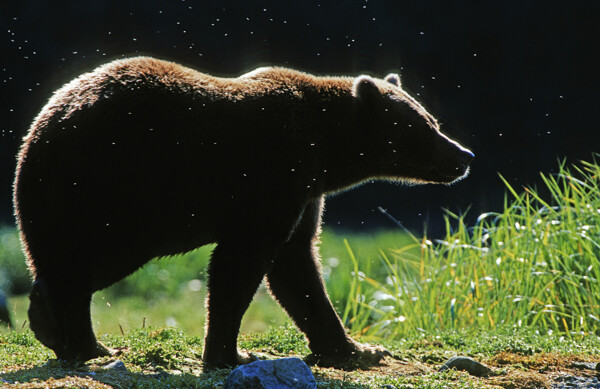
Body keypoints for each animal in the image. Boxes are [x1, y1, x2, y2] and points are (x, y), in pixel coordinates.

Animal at [12, 56, 474, 368]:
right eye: (424, 126)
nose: (464, 154)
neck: (325, 150)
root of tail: (39, 132)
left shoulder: (304, 195)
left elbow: (297, 268)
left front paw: (358, 348)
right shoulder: (271, 178)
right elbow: (241, 264)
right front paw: (232, 353)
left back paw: (90, 344)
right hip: (113, 190)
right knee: (87, 263)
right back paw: (53, 325)